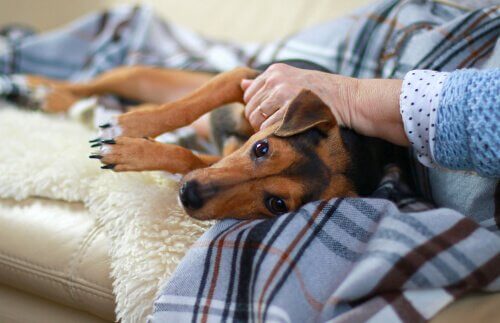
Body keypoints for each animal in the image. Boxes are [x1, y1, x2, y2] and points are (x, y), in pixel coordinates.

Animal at [24, 61, 410, 220]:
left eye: (277, 204)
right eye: (262, 148)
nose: (189, 195)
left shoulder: (212, 162)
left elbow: (186, 157)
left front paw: (134, 150)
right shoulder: (244, 79)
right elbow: (188, 105)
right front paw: (128, 126)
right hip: (141, 77)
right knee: (95, 82)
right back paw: (42, 89)